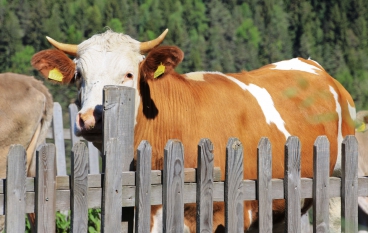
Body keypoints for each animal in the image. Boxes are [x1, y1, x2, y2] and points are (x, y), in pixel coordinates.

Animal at [31, 30, 356, 232]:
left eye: (129, 74)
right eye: (79, 76)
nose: (90, 119)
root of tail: (309, 63)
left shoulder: (229, 214)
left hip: (337, 182)